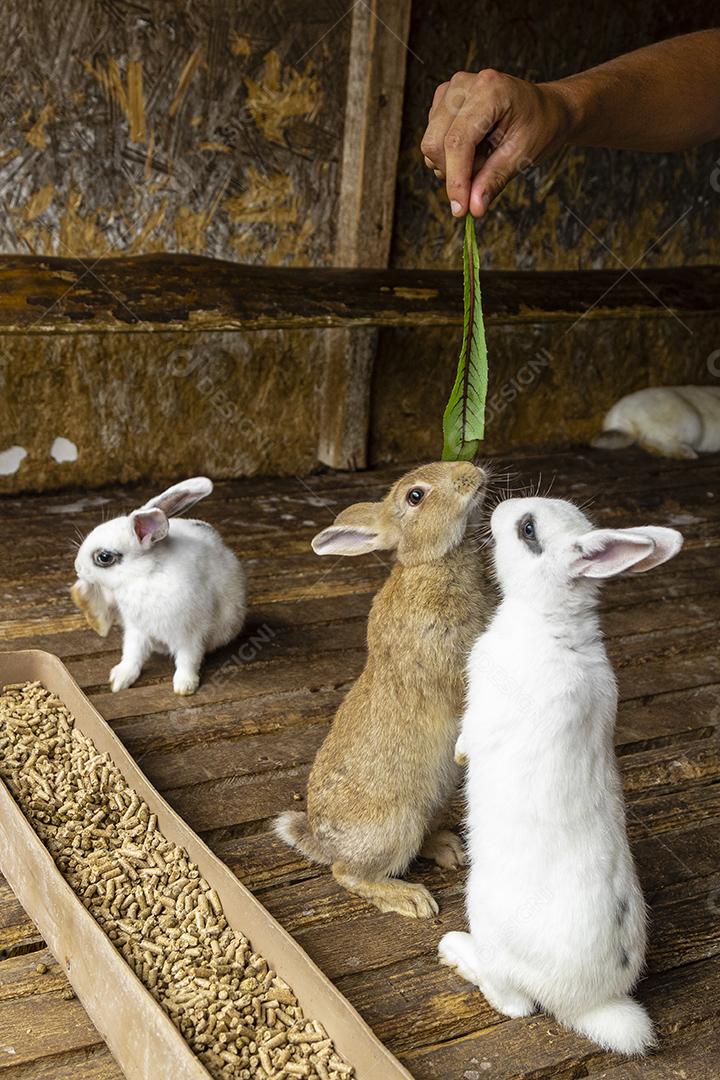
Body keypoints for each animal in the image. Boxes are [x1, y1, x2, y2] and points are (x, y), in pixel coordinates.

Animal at [71, 477, 245, 695]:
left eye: (104, 557)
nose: (77, 568)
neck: (144, 575)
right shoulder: (137, 630)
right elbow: (132, 655)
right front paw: (120, 679)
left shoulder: (190, 634)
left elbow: (188, 660)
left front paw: (184, 686)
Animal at [273, 460, 492, 915]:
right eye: (415, 496)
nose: (472, 470)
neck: (432, 562)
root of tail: (324, 843)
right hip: (396, 825)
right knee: (349, 874)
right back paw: (412, 899)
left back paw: (448, 849)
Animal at [442, 496, 686, 1054]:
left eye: (528, 530)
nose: (499, 508)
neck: (549, 621)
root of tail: (592, 1003)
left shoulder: (484, 704)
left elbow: (470, 735)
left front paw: (461, 756)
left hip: (485, 917)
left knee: (515, 1004)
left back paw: (457, 952)